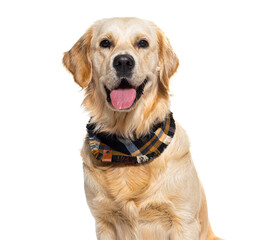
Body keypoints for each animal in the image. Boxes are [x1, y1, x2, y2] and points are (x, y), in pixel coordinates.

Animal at [62, 17, 220, 240]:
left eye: (143, 43)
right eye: (105, 43)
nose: (123, 61)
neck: (128, 143)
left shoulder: (184, 220)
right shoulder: (103, 221)